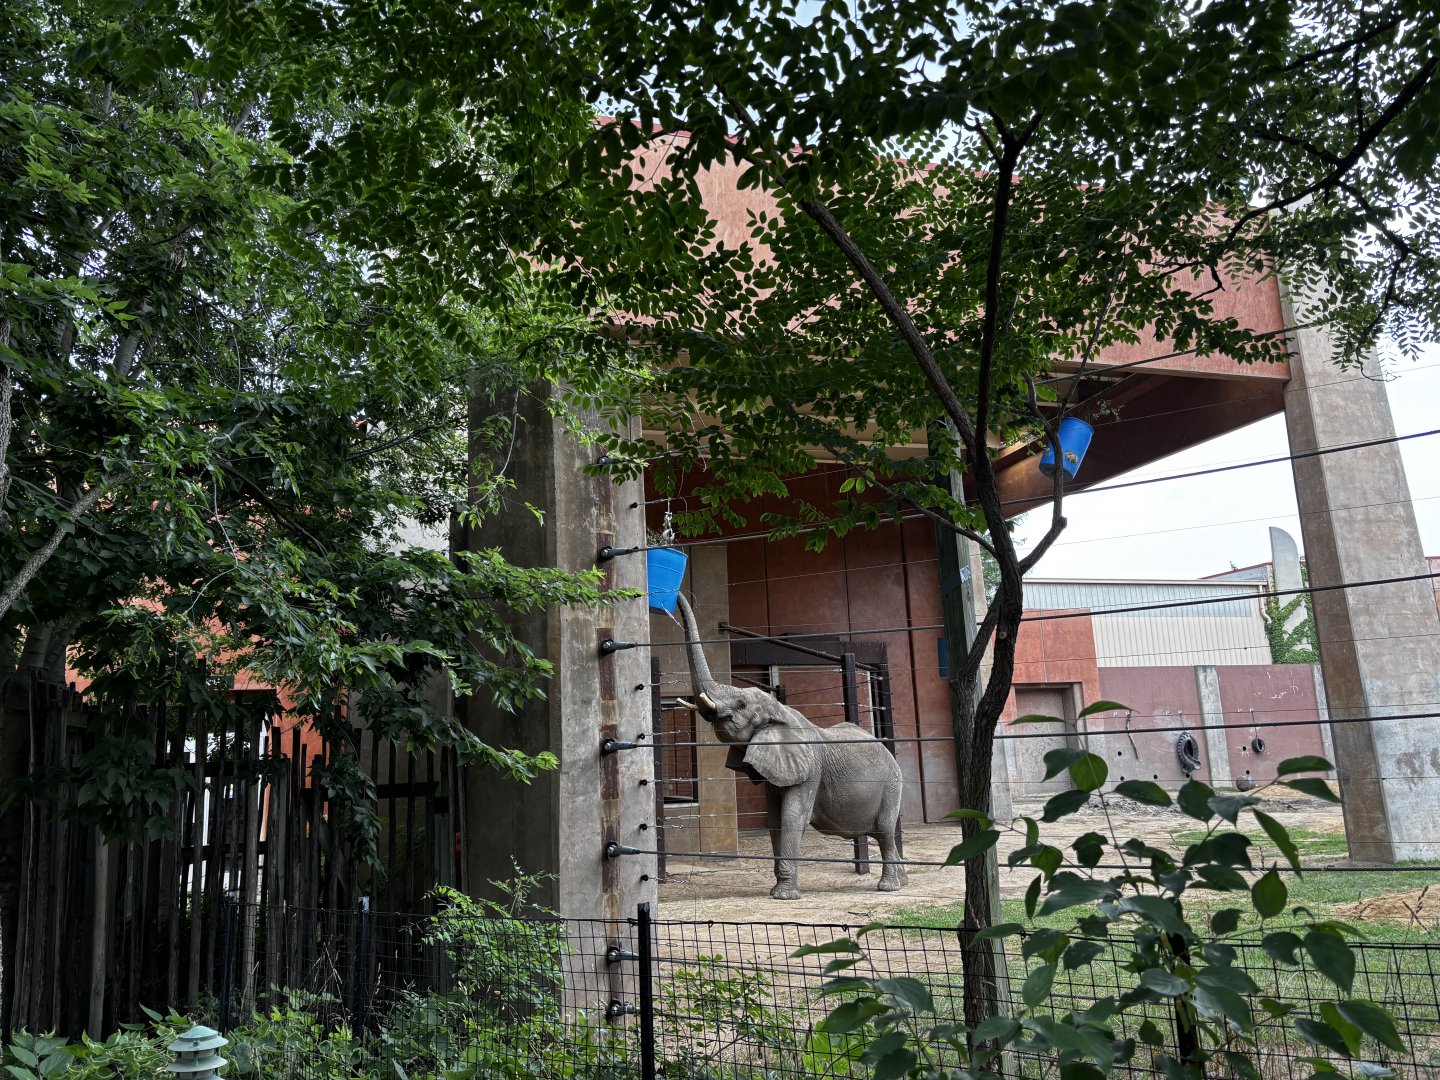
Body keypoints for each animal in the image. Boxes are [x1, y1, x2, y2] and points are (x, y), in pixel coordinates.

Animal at [674, 593, 907, 899]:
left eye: (741, 704)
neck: (780, 711)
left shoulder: (810, 770)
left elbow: (792, 816)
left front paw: (783, 895)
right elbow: (775, 818)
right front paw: (777, 889)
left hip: (892, 785)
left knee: (885, 832)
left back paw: (889, 887)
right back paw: (904, 880)